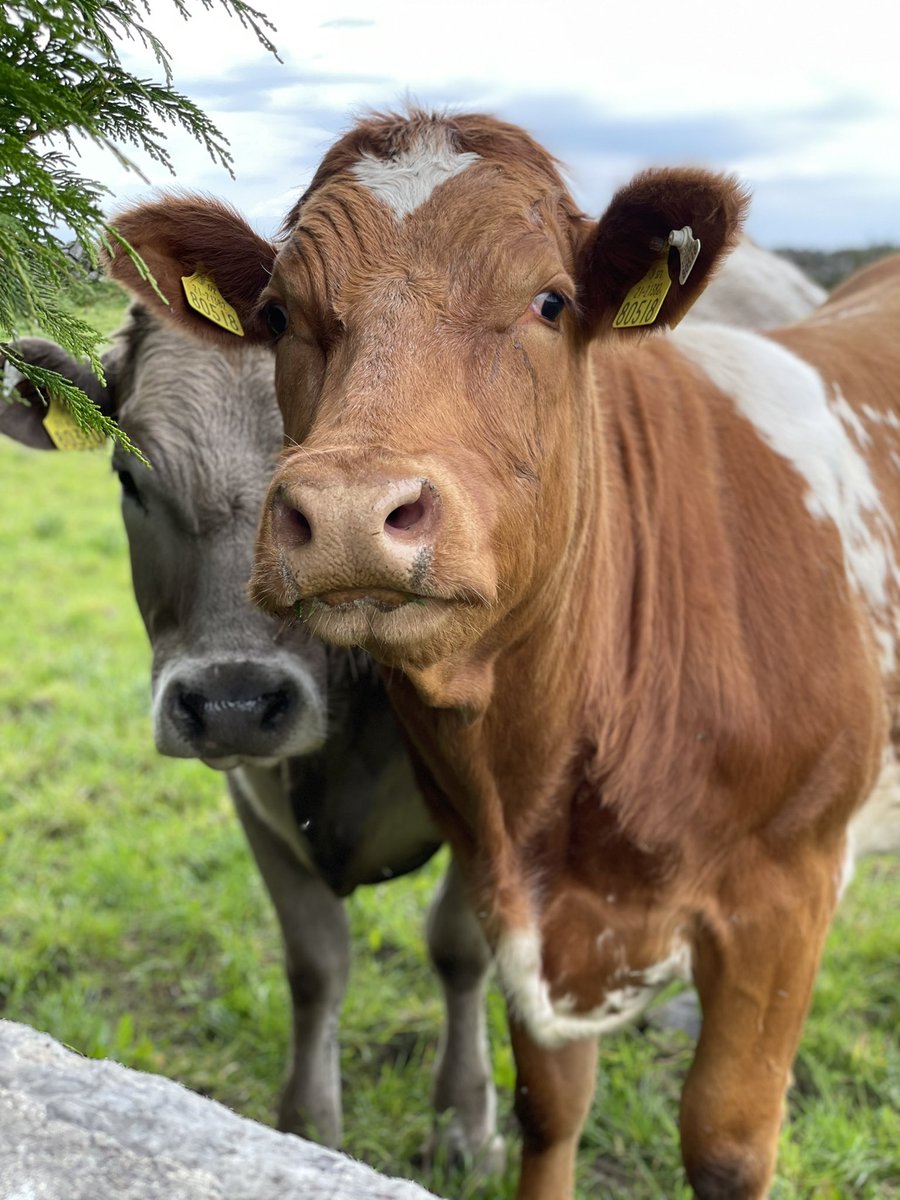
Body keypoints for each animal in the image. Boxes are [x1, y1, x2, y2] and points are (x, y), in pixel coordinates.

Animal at [0, 306, 503, 1169]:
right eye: (128, 477)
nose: (232, 702)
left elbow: (458, 947)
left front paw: (464, 1123)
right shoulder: (254, 793)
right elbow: (314, 964)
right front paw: (306, 1128)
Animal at [102, 108, 900, 1200]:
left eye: (550, 300)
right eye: (276, 312)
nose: (346, 512)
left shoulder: (787, 890)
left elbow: (728, 1146)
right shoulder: (514, 892)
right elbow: (548, 1106)